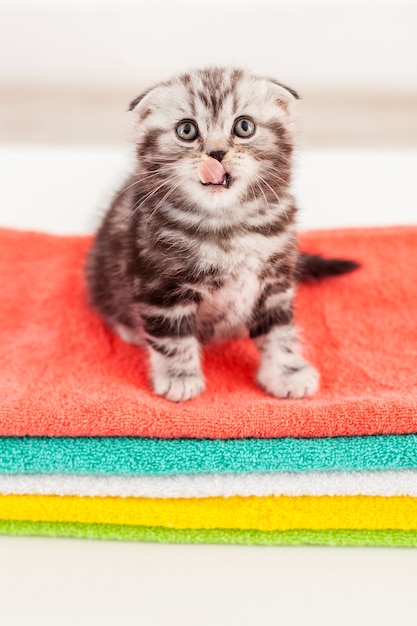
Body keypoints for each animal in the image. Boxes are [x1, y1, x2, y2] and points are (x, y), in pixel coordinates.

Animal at [85, 67, 358, 400]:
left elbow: (279, 330)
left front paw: (287, 372)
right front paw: (179, 377)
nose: (216, 153)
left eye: (244, 126)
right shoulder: (161, 286)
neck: (228, 224)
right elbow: (173, 337)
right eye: (186, 130)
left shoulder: (276, 281)